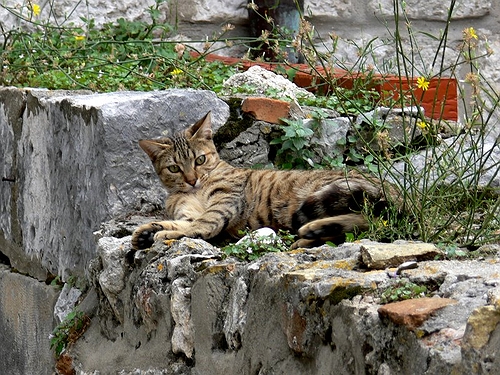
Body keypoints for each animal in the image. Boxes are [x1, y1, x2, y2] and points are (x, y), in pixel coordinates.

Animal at [131, 113, 392, 251]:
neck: (194, 192)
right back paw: (313, 234)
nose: (192, 180)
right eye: (174, 168)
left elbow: (201, 225)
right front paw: (148, 231)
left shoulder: (225, 201)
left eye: (200, 160)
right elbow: (180, 222)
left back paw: (312, 232)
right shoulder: (188, 212)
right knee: (366, 224)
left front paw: (167, 233)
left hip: (333, 192)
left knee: (371, 222)